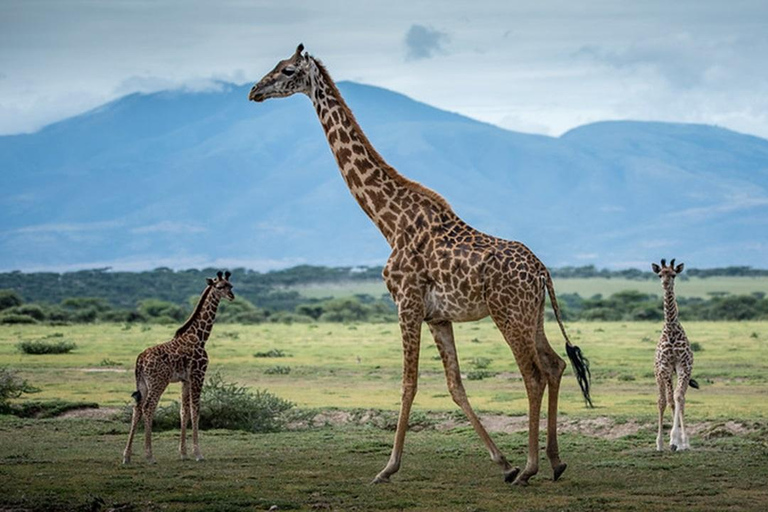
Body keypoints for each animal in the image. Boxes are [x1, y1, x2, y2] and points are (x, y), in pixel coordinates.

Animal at [121, 272, 236, 464]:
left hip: (143, 383)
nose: (232, 296)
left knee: (137, 408)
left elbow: (184, 411)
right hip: (158, 382)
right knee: (148, 408)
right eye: (220, 287)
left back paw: (126, 456)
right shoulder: (198, 374)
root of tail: (139, 360)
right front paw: (198, 454)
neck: (200, 336)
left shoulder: (185, 379)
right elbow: (196, 411)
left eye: (231, 285)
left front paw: (183, 453)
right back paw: (149, 456)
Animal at [249, 43, 592, 484]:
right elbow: (455, 384)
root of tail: (542, 271)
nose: (254, 91)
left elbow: (408, 383)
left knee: (532, 374)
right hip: (532, 314)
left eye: (288, 70)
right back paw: (554, 461)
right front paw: (502, 461)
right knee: (554, 365)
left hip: (508, 314)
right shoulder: (437, 316)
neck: (388, 221)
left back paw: (531, 468)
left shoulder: (406, 303)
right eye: (274, 67)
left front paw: (387, 468)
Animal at [652, 260, 700, 452]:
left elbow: (679, 397)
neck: (671, 328)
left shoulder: (683, 366)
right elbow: (670, 401)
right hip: (658, 374)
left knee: (679, 399)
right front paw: (672, 440)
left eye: (673, 275)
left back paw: (681, 443)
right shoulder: (666, 367)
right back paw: (659, 444)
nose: (665, 283)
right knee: (661, 401)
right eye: (660, 274)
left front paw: (680, 440)